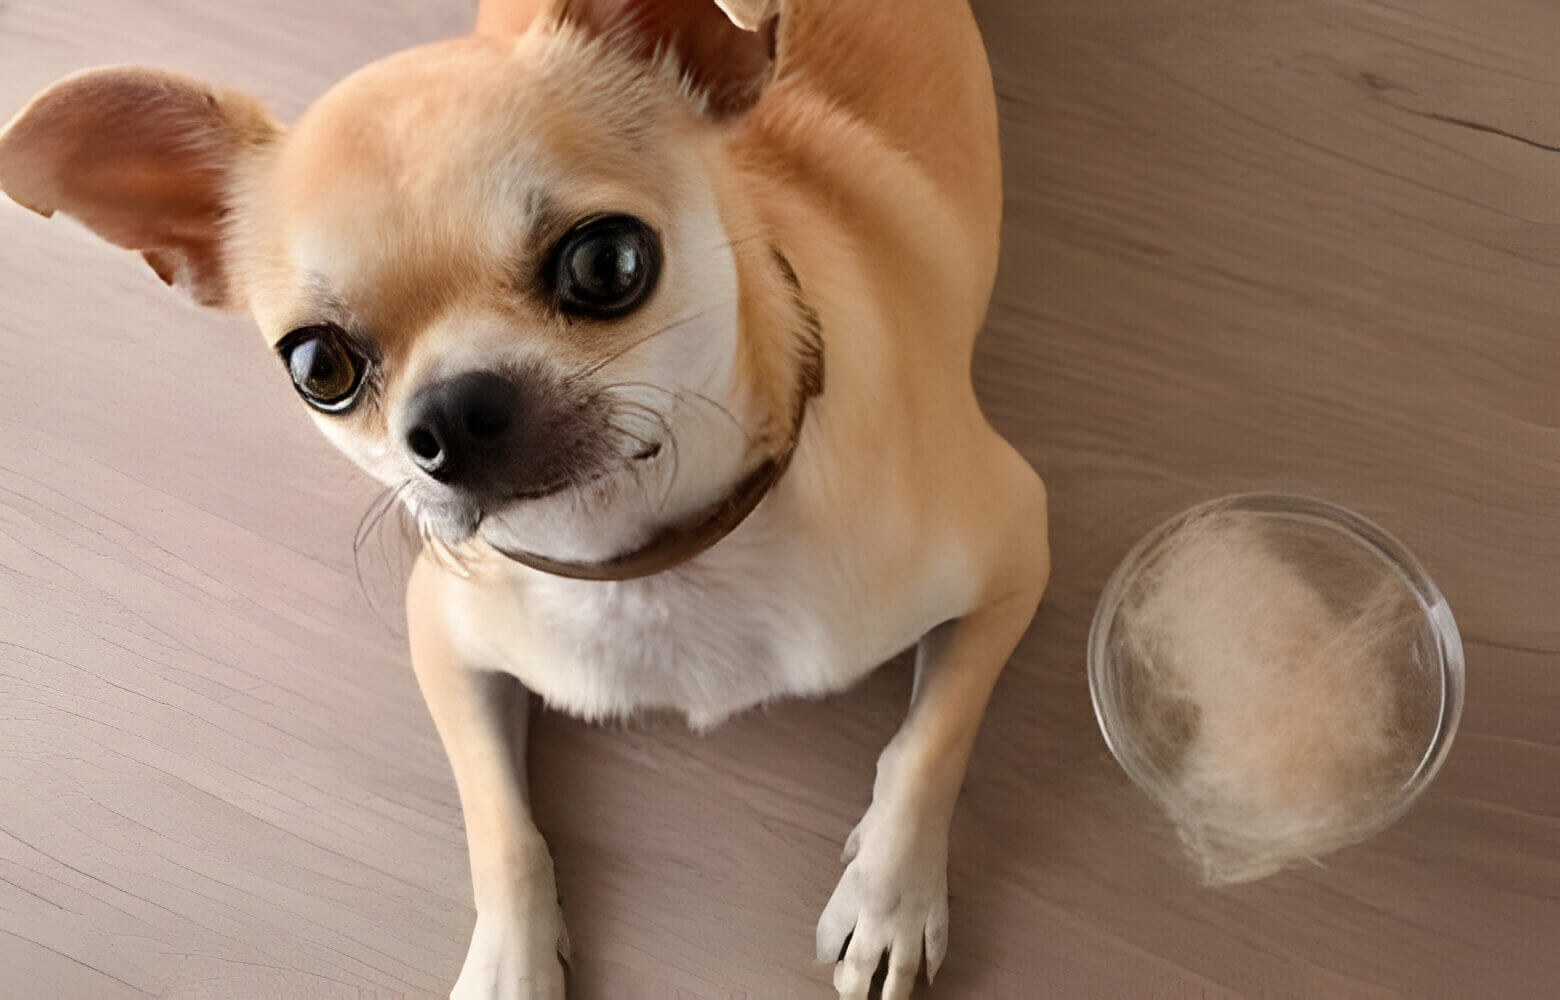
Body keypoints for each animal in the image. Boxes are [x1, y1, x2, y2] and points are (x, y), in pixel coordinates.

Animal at [0, 3, 1054, 992]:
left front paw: (888, 900)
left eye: (607, 263)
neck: (645, 562)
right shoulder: (447, 644)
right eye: (317, 367)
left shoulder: (1017, 550)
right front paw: (512, 962)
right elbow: (499, 827)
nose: (453, 412)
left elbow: (929, 743)